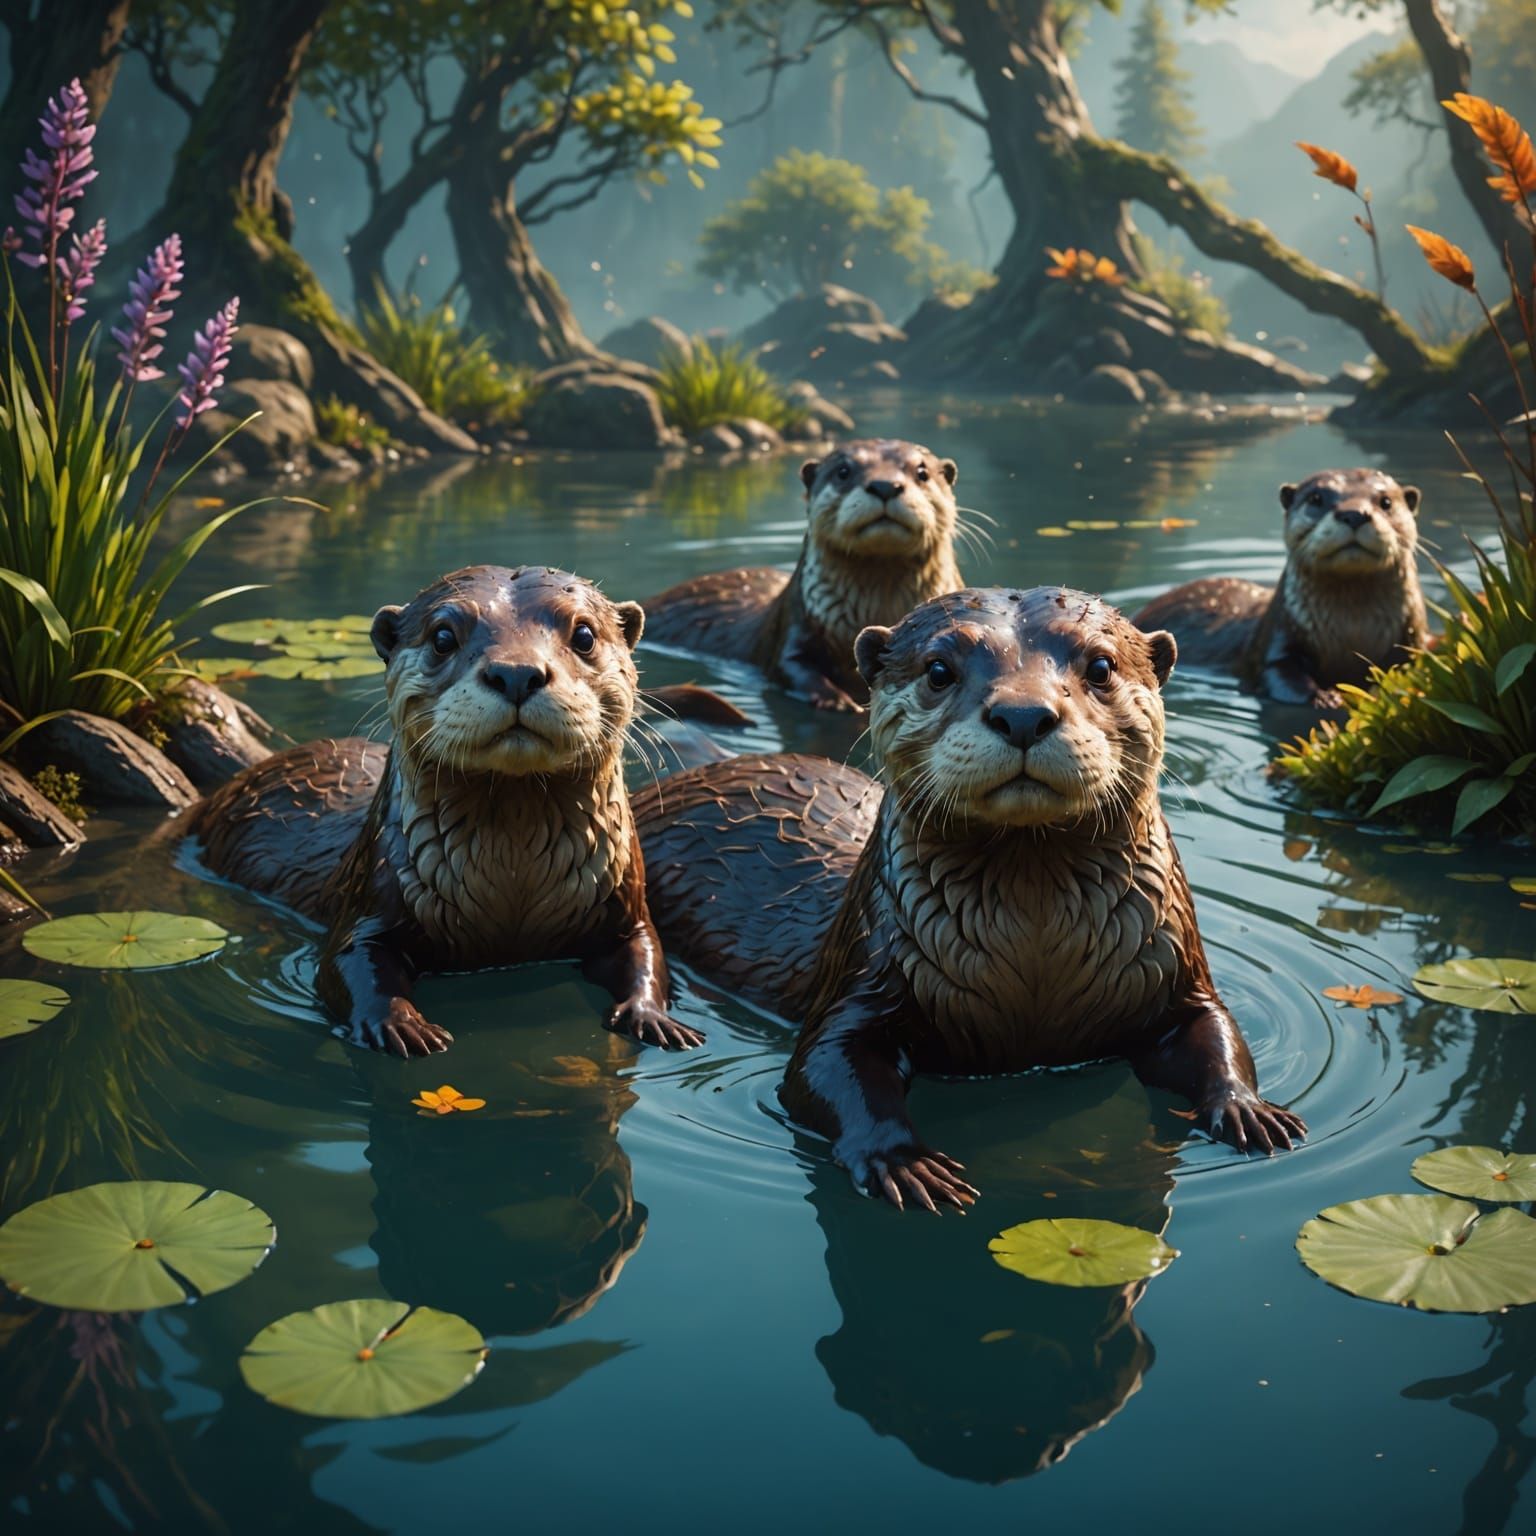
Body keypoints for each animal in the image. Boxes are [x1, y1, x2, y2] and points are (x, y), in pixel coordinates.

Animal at [187, 565, 701, 1057]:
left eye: (585, 635)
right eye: (442, 637)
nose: (518, 673)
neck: (513, 890)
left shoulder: (625, 900)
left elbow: (646, 951)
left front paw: (654, 1017)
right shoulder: (372, 891)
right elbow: (346, 960)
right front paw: (399, 1025)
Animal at [636, 587, 1305, 1211]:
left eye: (1101, 666)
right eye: (938, 669)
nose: (1024, 714)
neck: (1036, 968)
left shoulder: (1175, 970)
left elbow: (1216, 1031)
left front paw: (1250, 1110)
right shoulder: (863, 974)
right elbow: (820, 1068)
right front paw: (902, 1162)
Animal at [640, 438, 963, 711]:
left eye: (922, 472)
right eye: (843, 471)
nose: (885, 485)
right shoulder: (796, 621)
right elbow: (789, 665)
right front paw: (836, 701)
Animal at [1132, 468, 1428, 706]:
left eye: (1386, 502)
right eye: (1316, 498)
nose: (1354, 514)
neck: (1354, 633)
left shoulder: (1412, 640)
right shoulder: (1278, 636)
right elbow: (1278, 672)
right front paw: (1324, 698)